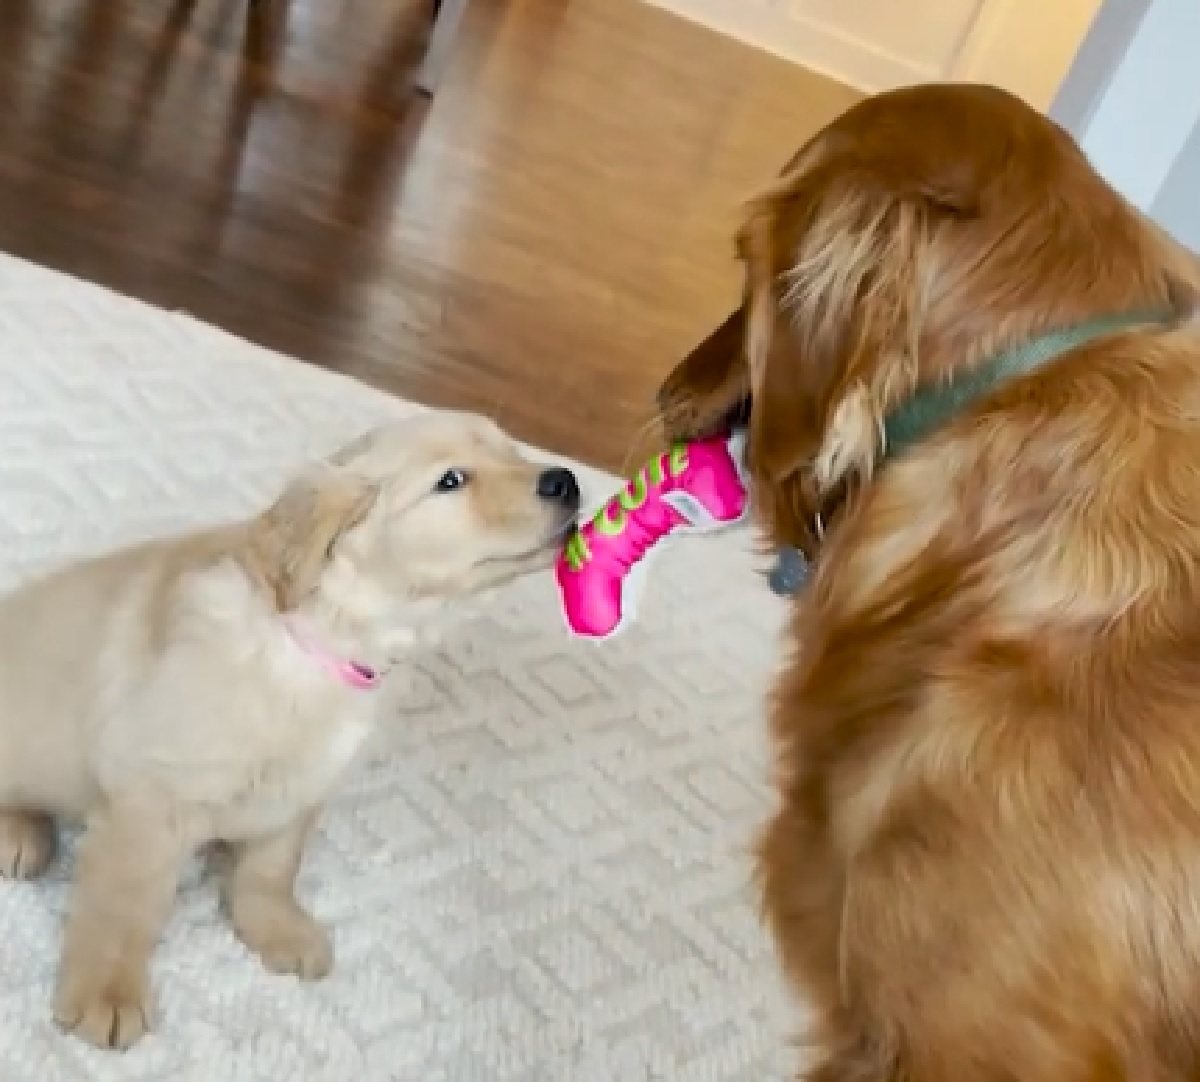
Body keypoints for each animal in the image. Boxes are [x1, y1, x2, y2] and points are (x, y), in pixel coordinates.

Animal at [0, 407, 580, 1050]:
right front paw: (108, 992)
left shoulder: (301, 792)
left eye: (513, 451)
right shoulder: (153, 799)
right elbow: (126, 902)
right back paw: (19, 833)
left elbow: (272, 869)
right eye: (451, 480)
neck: (324, 641)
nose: (566, 480)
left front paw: (273, 928)